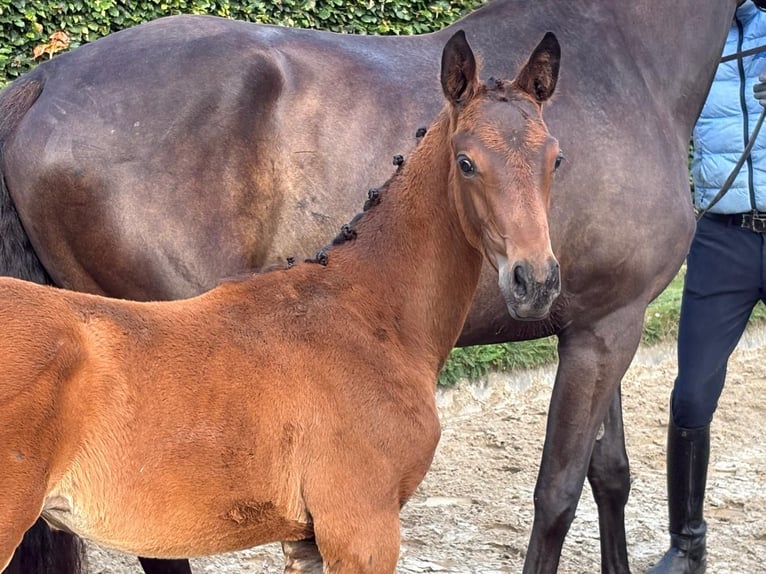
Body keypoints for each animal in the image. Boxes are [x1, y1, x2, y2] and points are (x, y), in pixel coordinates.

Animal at [0, 1, 740, 573]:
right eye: (466, 163)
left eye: (556, 159)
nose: (533, 279)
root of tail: (40, 81)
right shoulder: (607, 327)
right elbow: (557, 495)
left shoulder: (599, 318)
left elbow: (607, 475)